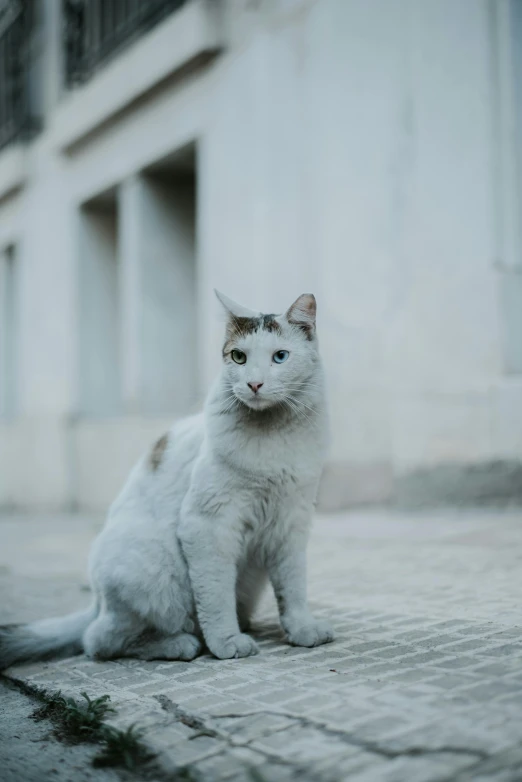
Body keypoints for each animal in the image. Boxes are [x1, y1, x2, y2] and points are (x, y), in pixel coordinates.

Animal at [0, 290, 334, 672]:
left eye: (280, 356)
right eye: (239, 356)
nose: (254, 383)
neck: (273, 434)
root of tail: (96, 603)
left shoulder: (291, 523)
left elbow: (293, 587)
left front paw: (302, 629)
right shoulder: (208, 525)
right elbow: (215, 595)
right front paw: (226, 643)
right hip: (153, 575)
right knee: (99, 641)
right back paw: (182, 644)